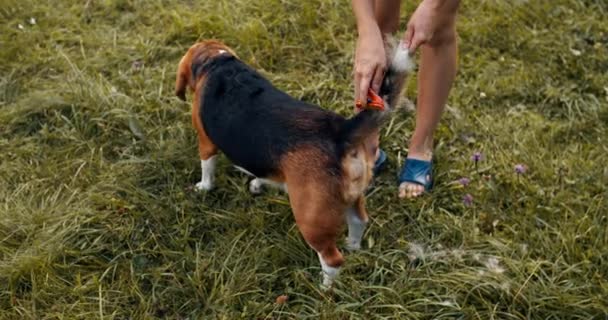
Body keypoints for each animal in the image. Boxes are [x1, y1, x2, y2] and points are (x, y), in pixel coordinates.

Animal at [176, 39, 414, 288]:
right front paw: (258, 184)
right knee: (359, 222)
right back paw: (353, 246)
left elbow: (207, 168)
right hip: (353, 196)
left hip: (310, 220)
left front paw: (203, 187)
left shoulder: (206, 143)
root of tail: (341, 133)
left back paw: (323, 288)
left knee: (332, 259)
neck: (217, 62)